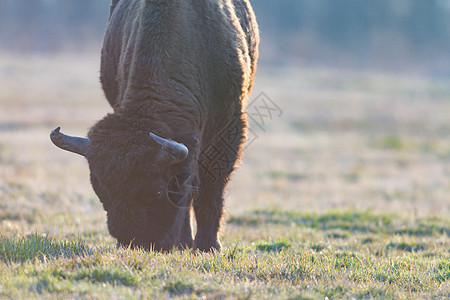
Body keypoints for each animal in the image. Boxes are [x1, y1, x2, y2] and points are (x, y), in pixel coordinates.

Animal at [49, 0, 260, 252]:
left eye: (156, 191)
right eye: (100, 189)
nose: (133, 241)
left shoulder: (227, 131)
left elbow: (209, 190)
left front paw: (209, 246)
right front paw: (185, 243)